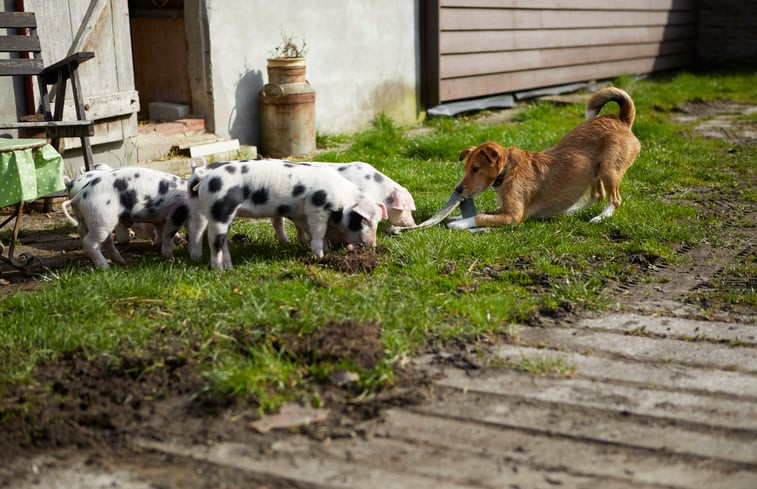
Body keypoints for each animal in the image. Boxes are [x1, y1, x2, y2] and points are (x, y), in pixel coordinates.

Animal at [446, 86, 640, 230]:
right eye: (466, 168)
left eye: (476, 169)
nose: (457, 190)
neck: (507, 171)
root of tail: (621, 120)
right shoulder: (504, 208)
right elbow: (485, 211)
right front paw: (456, 216)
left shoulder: (513, 215)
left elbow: (481, 217)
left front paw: (460, 223)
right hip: (593, 170)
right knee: (598, 195)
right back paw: (570, 211)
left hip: (609, 169)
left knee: (614, 200)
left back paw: (600, 218)